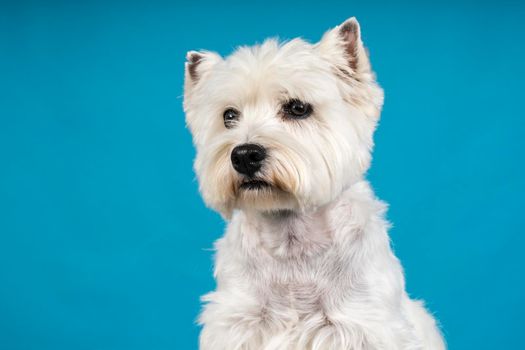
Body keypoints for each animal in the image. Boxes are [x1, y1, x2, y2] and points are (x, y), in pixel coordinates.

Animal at [182, 17, 444, 350]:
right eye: (229, 116)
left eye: (297, 108)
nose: (244, 156)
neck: (292, 243)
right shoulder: (237, 321)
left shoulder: (363, 325)